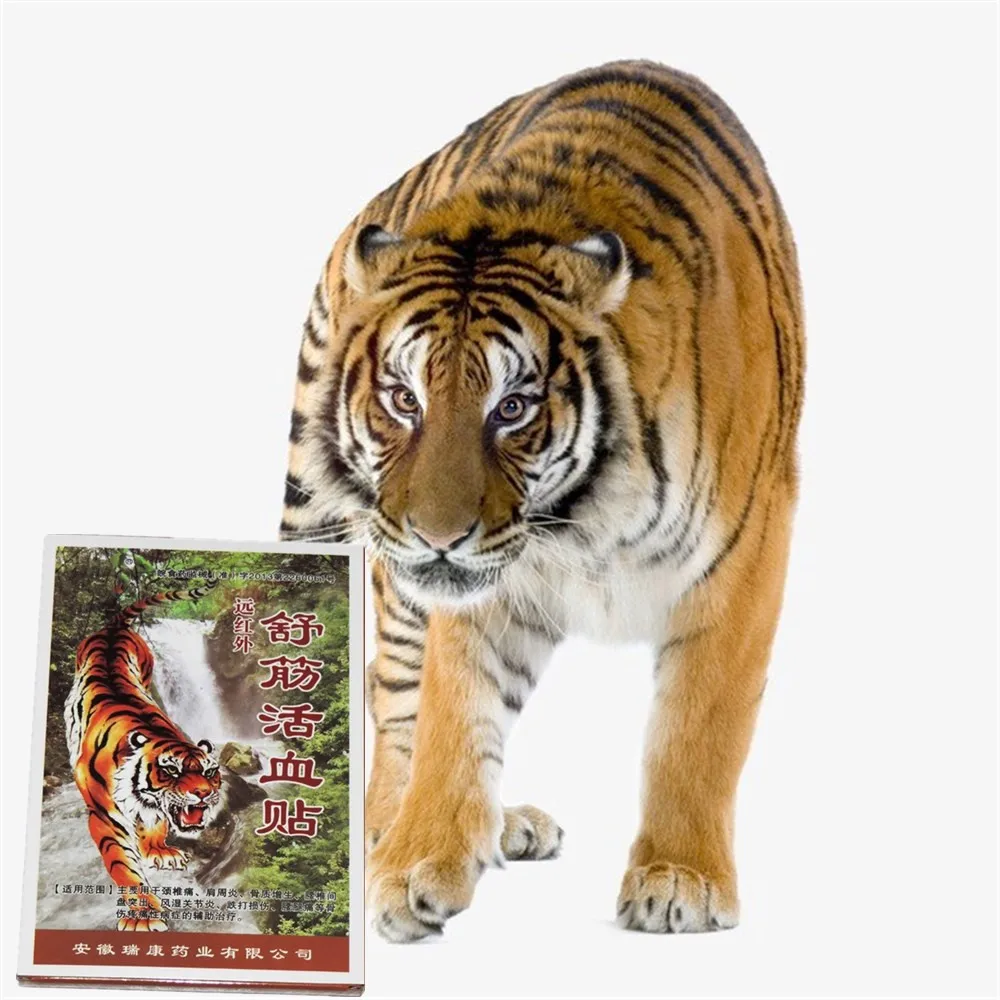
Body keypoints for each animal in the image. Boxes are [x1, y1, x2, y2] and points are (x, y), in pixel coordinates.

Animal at [64, 583, 222, 931]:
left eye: (210, 772)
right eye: (172, 770)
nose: (204, 794)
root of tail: (113, 626)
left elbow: (157, 822)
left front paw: (160, 852)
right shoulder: (105, 815)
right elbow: (123, 864)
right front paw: (143, 918)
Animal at [281, 60, 804, 940]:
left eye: (514, 407)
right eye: (404, 398)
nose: (437, 536)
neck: (585, 524)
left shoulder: (744, 550)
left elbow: (698, 725)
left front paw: (680, 878)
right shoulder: (478, 585)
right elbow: (453, 714)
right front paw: (414, 864)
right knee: (395, 698)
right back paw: (394, 827)